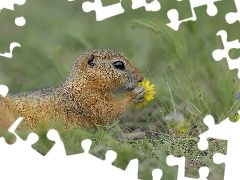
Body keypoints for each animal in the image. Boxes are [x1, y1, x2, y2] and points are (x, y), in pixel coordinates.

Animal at [0, 48, 146, 131]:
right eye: (119, 65)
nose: (141, 78)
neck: (79, 85)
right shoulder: (88, 100)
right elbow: (107, 111)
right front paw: (135, 95)